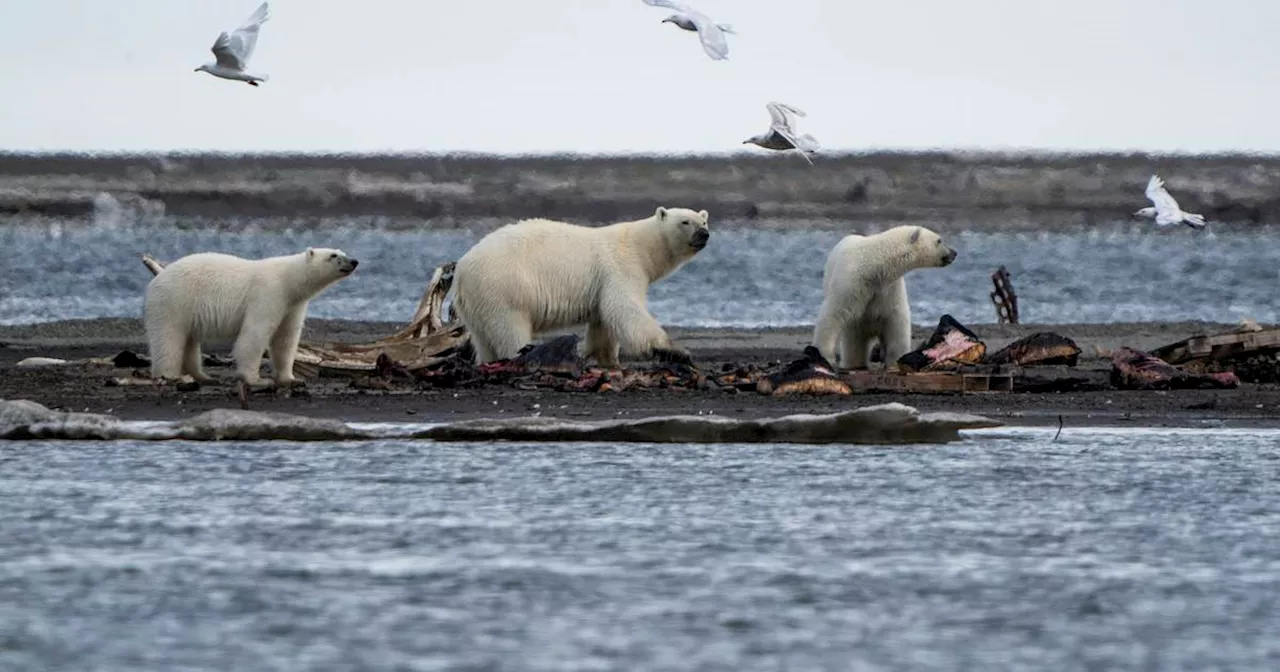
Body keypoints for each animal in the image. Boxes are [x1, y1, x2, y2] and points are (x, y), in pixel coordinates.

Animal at [142, 245, 358, 384]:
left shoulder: (292, 305)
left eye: (343, 252)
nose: (354, 261)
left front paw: (291, 378)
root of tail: (157, 278)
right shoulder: (268, 293)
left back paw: (204, 376)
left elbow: (285, 339)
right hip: (173, 302)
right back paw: (170, 375)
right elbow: (255, 335)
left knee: (189, 340)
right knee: (168, 338)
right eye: (333, 255)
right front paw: (255, 379)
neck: (288, 280)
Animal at [450, 208, 711, 368]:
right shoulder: (620, 267)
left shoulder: (603, 282)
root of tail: (461, 270)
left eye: (704, 220)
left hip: (477, 303)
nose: (704, 234)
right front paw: (676, 351)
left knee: (484, 339)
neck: (640, 246)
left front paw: (606, 359)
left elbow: (604, 321)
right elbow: (625, 309)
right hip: (503, 288)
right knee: (510, 329)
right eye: (685, 221)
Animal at [814, 227, 957, 368]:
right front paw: (826, 356)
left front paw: (895, 360)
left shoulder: (889, 288)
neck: (874, 266)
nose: (954, 253)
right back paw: (855, 364)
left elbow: (895, 321)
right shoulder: (851, 283)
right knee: (854, 340)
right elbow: (834, 313)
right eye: (939, 240)